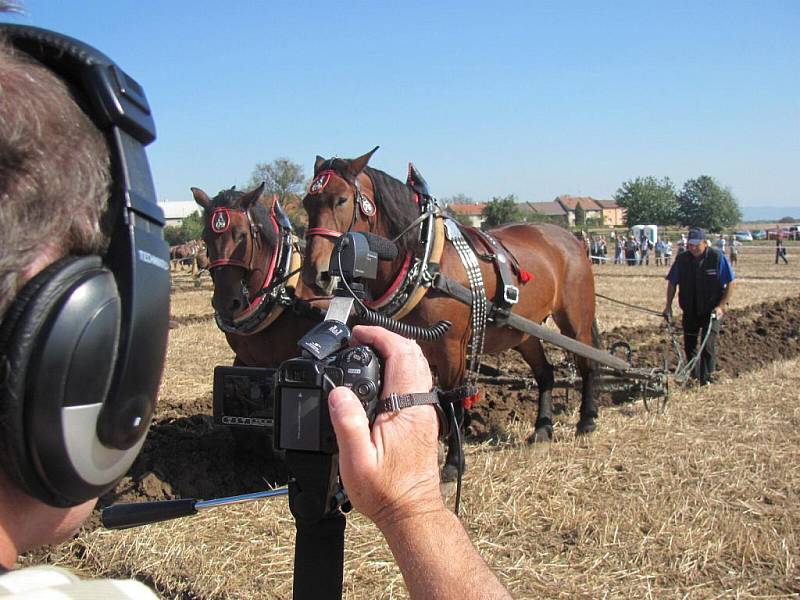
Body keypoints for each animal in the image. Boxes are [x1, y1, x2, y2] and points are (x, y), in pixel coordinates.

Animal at [302, 151, 600, 482]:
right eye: (306, 203)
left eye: (341, 200)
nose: (315, 275)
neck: (425, 261)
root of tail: (573, 239)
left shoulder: (451, 347)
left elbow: (453, 402)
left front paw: (454, 464)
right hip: (524, 332)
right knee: (545, 373)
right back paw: (543, 429)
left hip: (575, 320)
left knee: (588, 363)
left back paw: (587, 420)